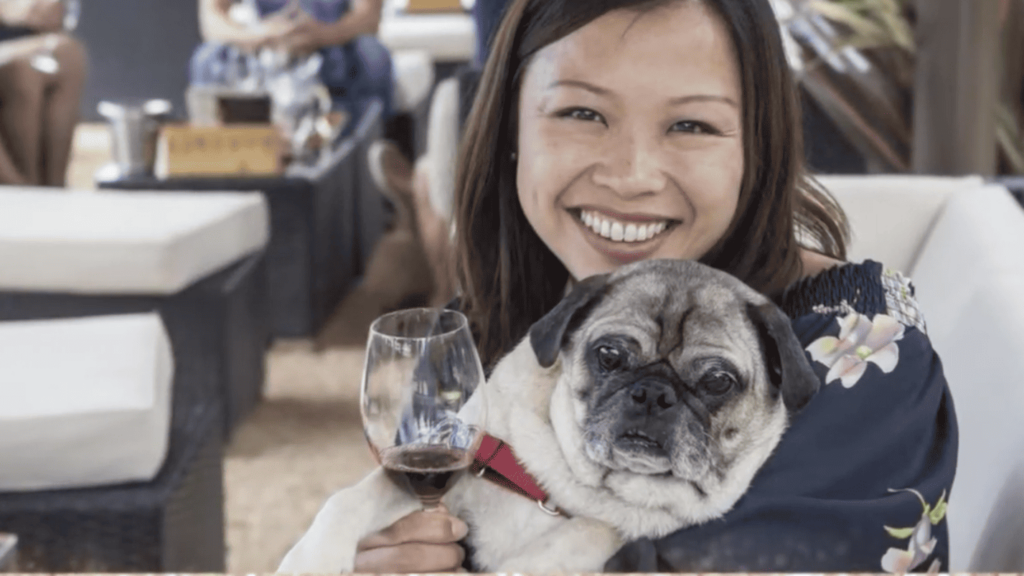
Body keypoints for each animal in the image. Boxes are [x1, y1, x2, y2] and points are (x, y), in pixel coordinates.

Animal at [276, 259, 819, 569]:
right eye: (609, 356)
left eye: (717, 382)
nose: (653, 394)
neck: (557, 490)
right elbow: (348, 501)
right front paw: (309, 561)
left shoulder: (612, 529)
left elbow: (594, 530)